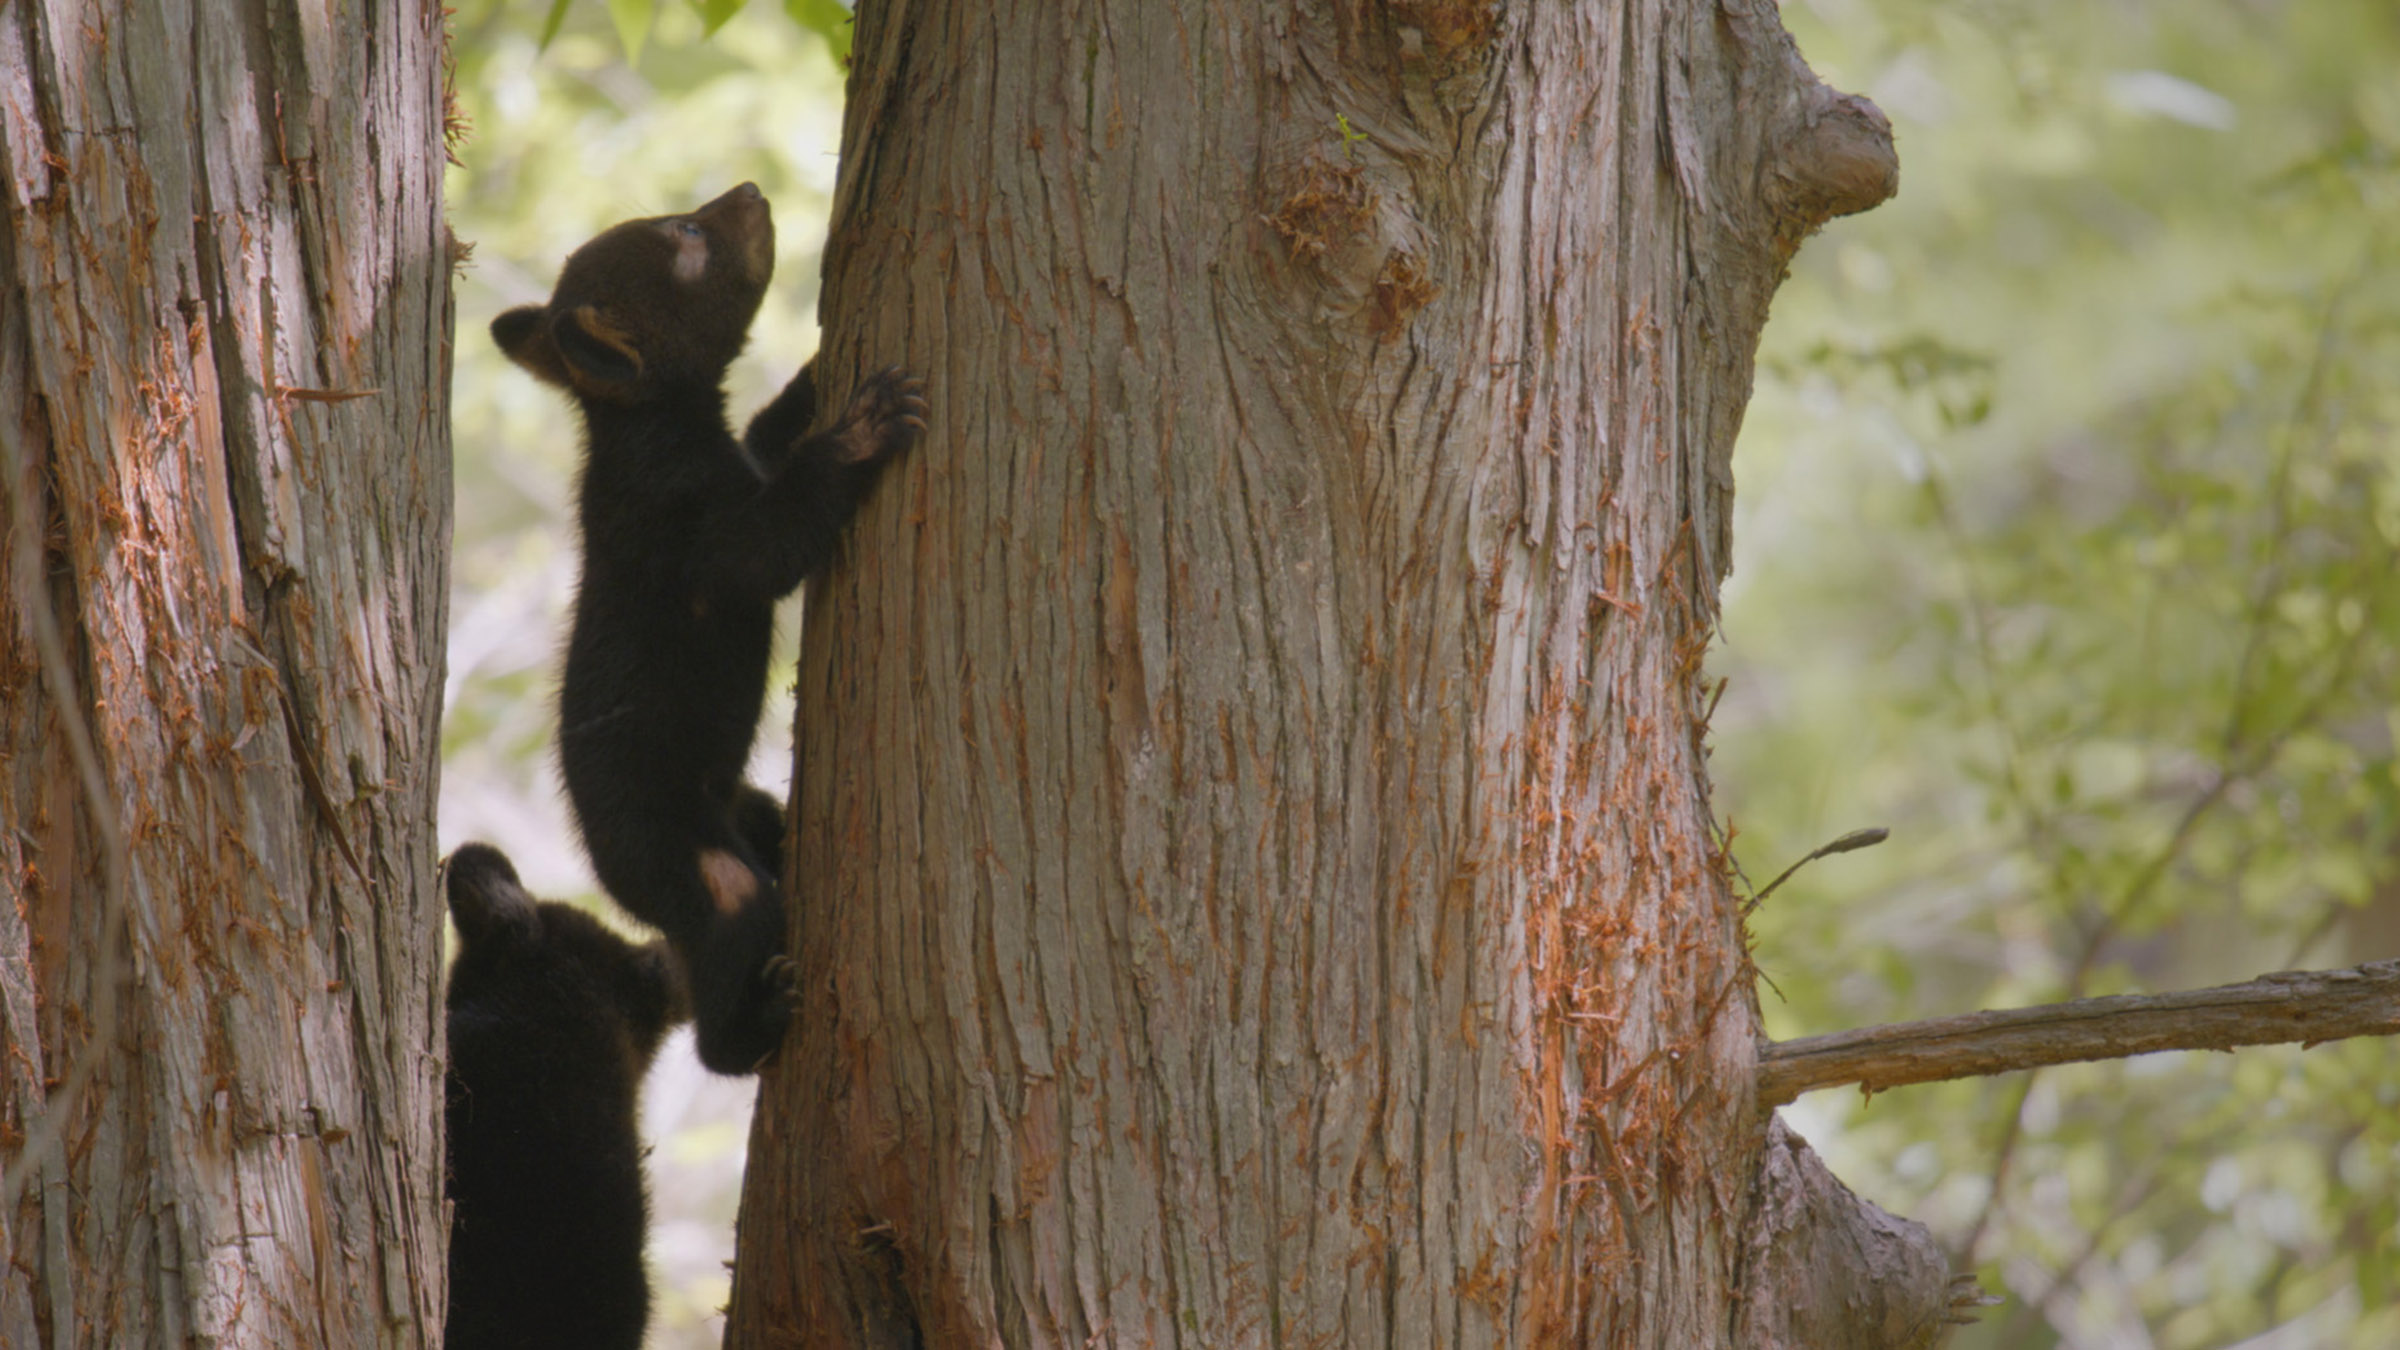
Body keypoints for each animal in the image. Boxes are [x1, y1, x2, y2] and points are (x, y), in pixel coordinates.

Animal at [491, 181, 927, 1072]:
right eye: (685, 231)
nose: (751, 191)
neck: (655, 426)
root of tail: (606, 872)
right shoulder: (677, 516)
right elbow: (763, 551)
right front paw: (867, 421)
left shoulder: (736, 457)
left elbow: (766, 436)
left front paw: (816, 372)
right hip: (676, 851)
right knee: (726, 924)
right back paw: (755, 1025)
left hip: (735, 807)